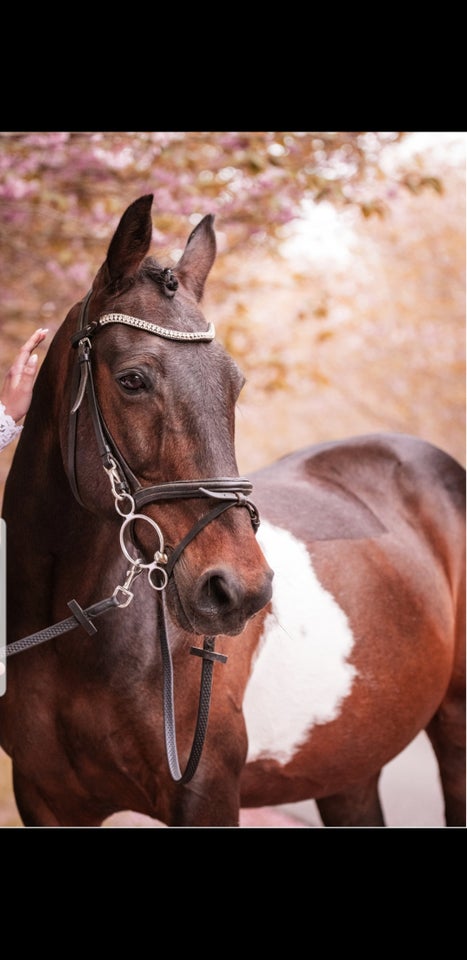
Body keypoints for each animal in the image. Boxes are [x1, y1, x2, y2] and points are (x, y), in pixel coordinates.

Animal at [1, 195, 466, 824]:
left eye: (235, 385)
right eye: (132, 379)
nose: (238, 591)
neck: (71, 632)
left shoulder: (208, 793)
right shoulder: (45, 800)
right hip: (349, 770)